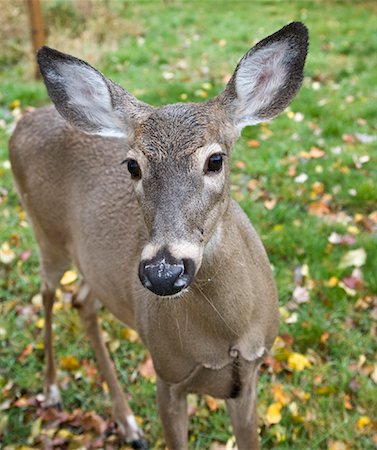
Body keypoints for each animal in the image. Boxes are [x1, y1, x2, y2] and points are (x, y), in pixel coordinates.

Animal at [9, 22, 308, 450]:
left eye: (215, 160)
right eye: (132, 166)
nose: (164, 272)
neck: (225, 336)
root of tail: (21, 121)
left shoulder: (249, 377)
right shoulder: (167, 375)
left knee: (82, 300)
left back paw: (128, 424)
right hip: (44, 232)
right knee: (48, 294)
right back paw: (52, 390)